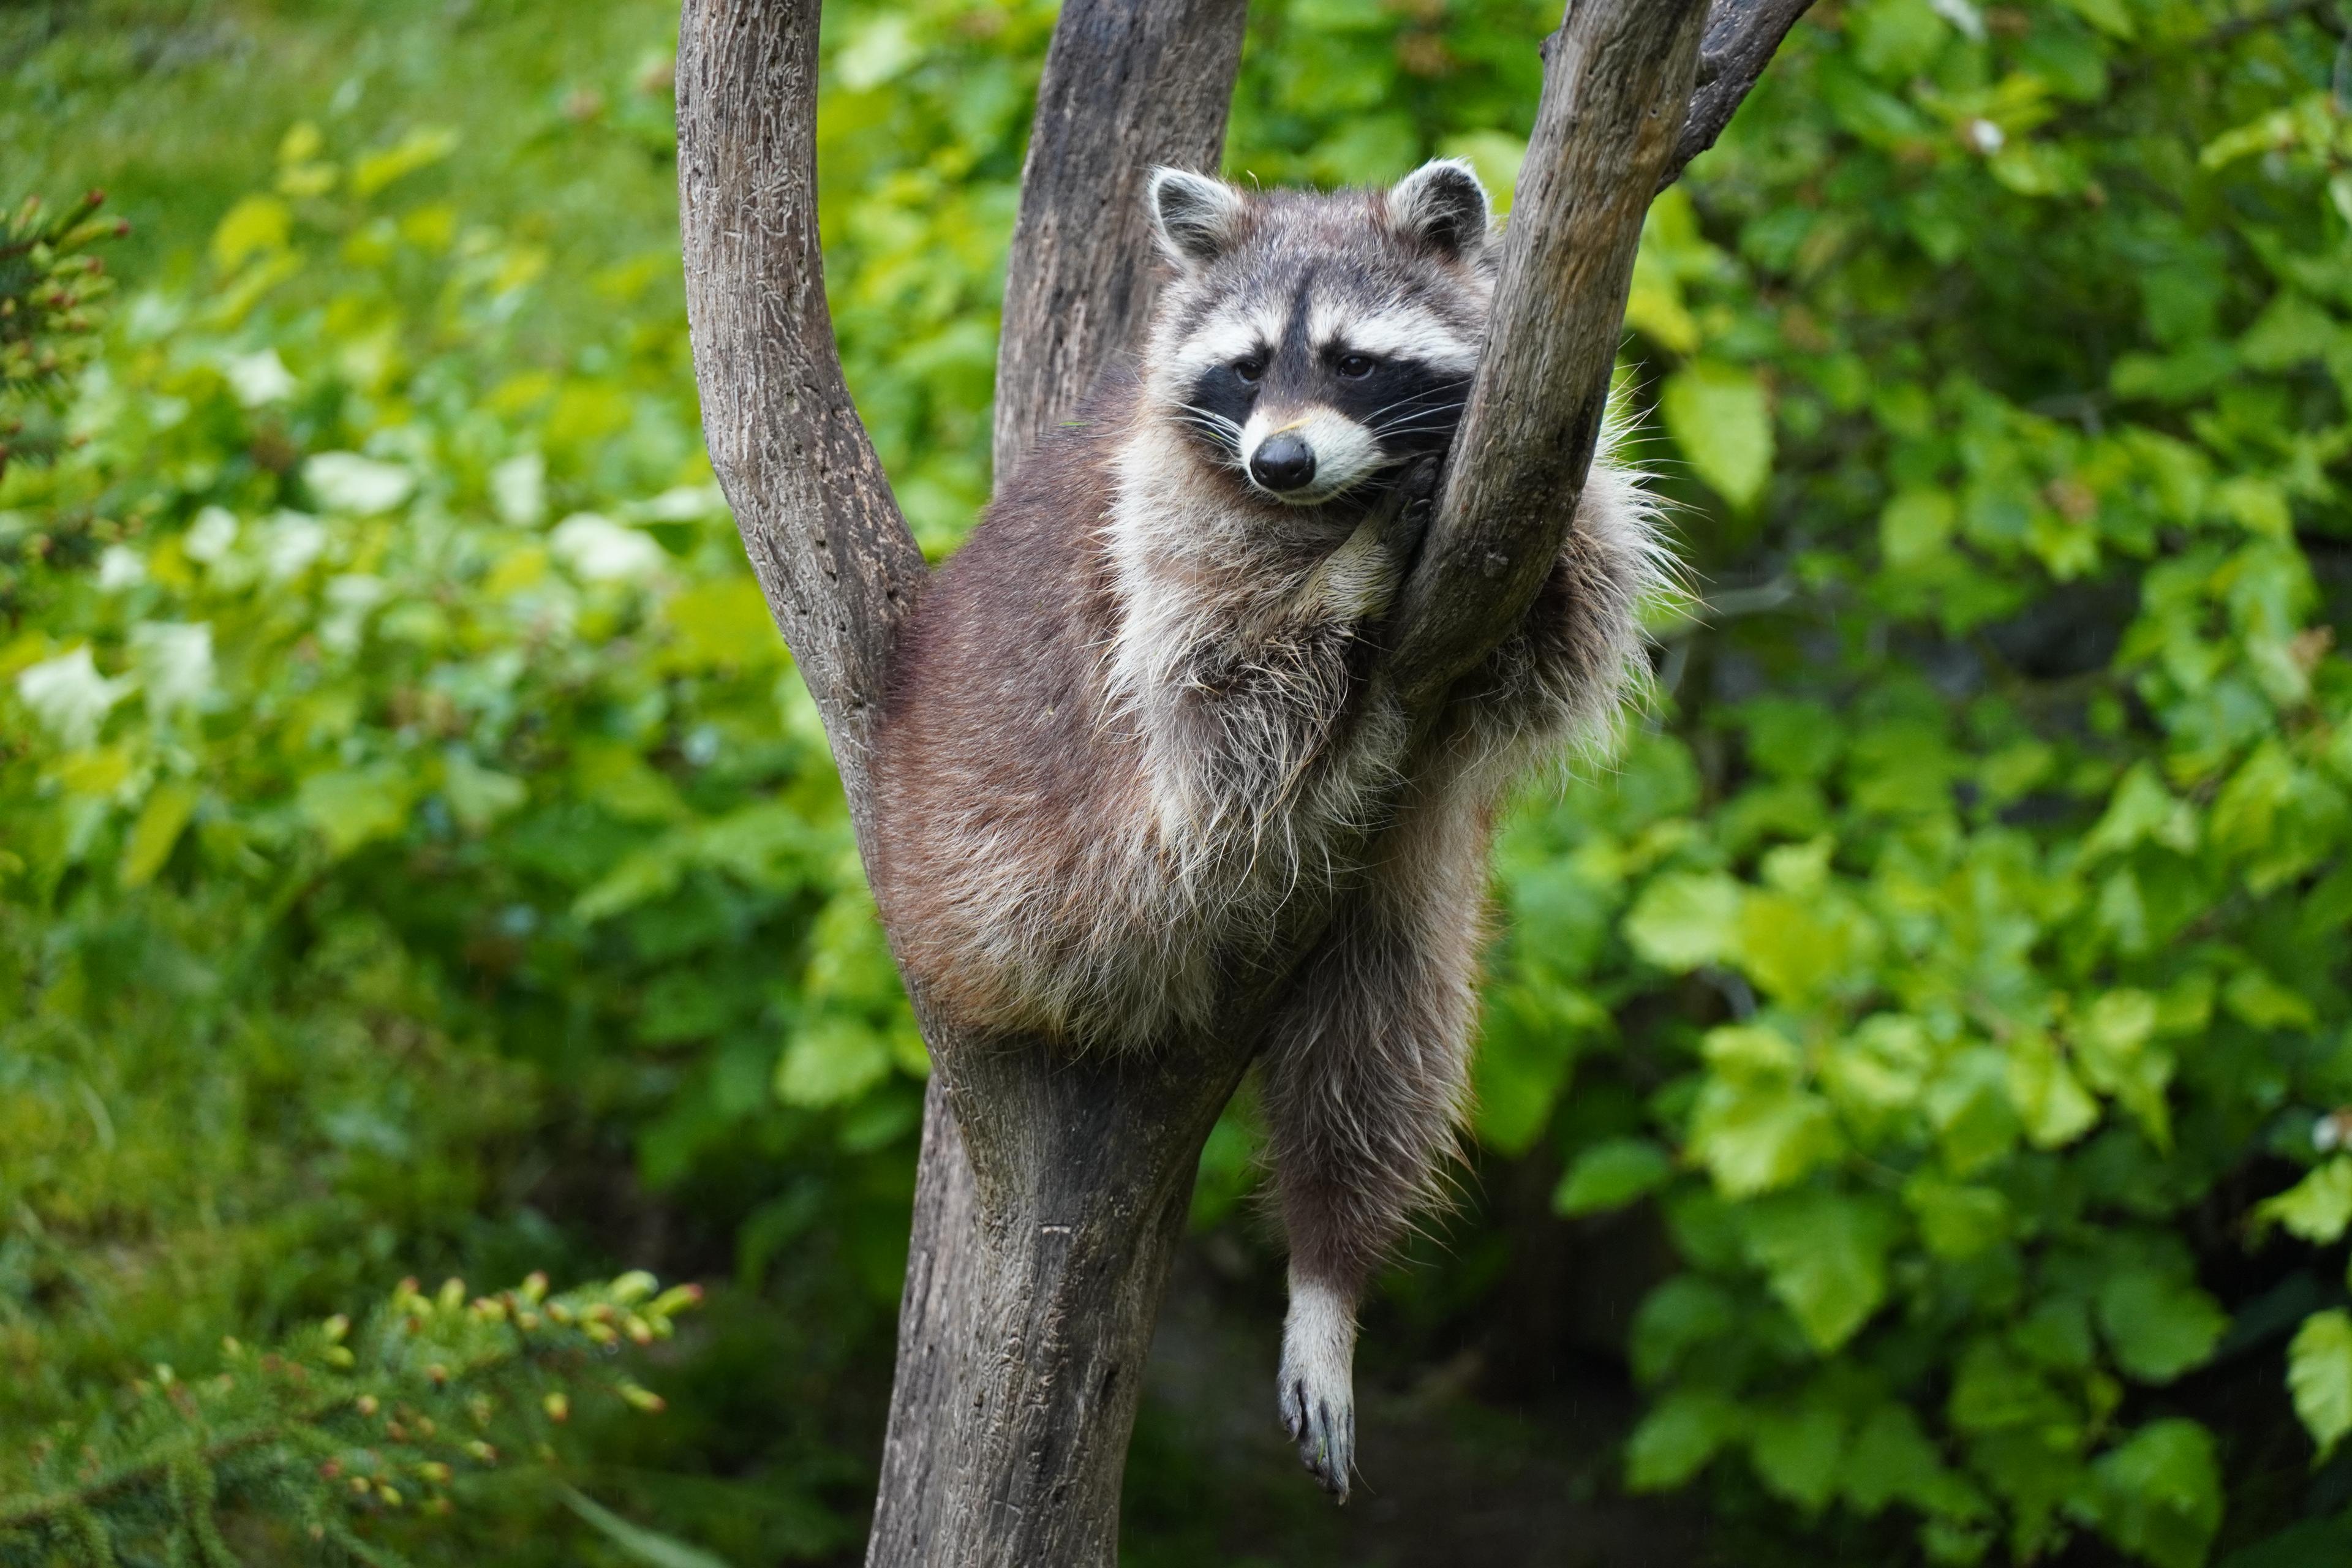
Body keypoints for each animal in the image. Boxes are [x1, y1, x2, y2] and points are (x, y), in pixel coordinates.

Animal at [870, 156, 1675, 1495]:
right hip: (1036, 895)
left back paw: (1329, 1267)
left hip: (1395, 889)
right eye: (1246, 368)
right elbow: (1215, 711)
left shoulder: (1542, 474)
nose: (1284, 463)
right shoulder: (1165, 531)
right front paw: (1338, 579)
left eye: (1351, 360)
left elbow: (1570, 627)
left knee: (1385, 1038)